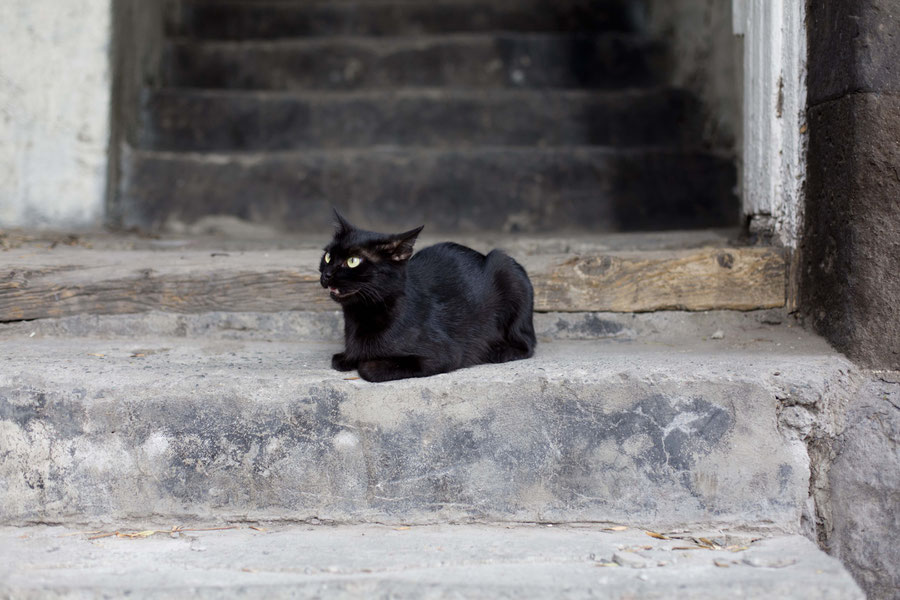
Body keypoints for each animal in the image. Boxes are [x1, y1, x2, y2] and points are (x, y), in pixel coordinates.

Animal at [320, 211, 536, 382]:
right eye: (328, 256)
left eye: (353, 261)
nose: (327, 274)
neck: (359, 316)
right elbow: (339, 360)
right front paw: (348, 357)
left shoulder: (444, 355)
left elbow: (369, 369)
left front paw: (365, 363)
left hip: (508, 269)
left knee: (527, 342)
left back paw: (499, 351)